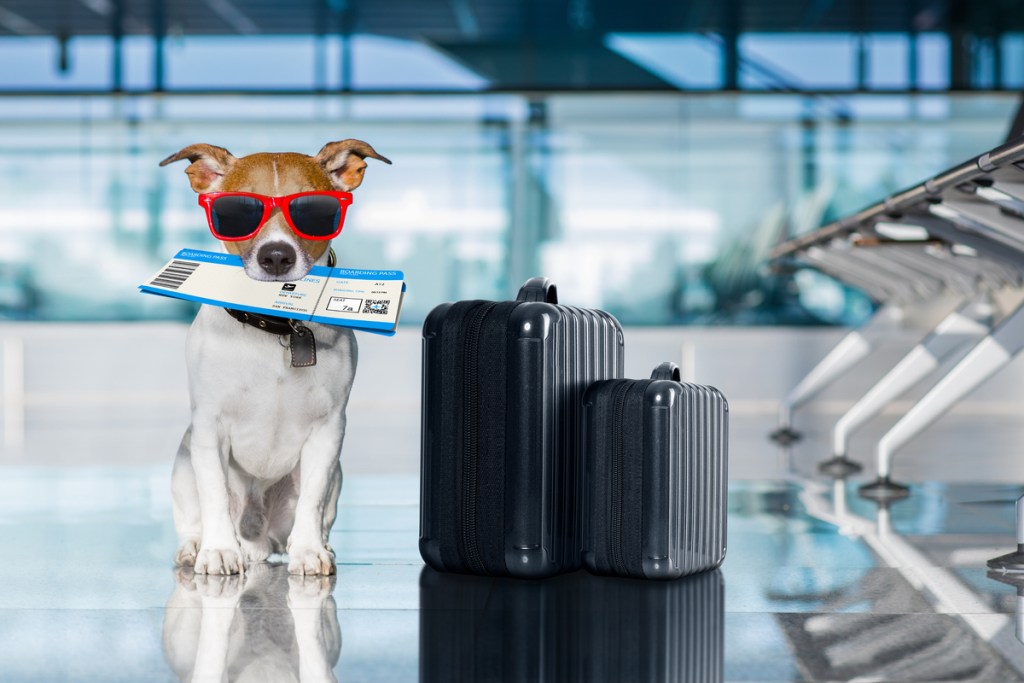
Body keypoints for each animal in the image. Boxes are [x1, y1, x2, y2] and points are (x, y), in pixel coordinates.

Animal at [159, 140, 391, 577]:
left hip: (335, 477)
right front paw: (218, 549)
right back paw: (198, 545)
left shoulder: (328, 431)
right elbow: (213, 492)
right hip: (182, 459)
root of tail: (258, 537)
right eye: (237, 211)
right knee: (195, 514)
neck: (275, 323)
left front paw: (309, 551)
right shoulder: (209, 427)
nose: (277, 256)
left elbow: (312, 499)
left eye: (314, 210)